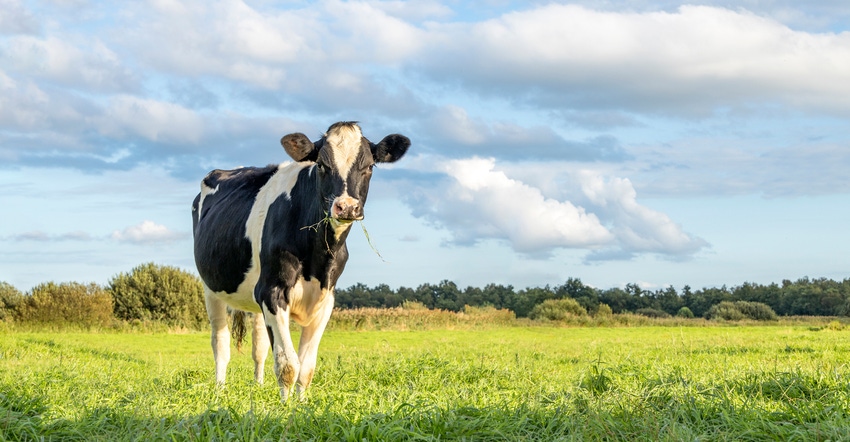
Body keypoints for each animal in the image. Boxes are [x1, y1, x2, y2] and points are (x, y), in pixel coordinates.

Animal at [190, 121, 410, 400]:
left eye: (370, 166)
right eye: (322, 165)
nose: (347, 207)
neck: (317, 257)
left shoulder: (325, 298)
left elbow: (306, 367)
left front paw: (302, 405)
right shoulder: (272, 292)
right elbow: (287, 364)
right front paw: (284, 408)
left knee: (259, 347)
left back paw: (258, 386)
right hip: (211, 288)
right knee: (220, 343)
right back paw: (219, 391)